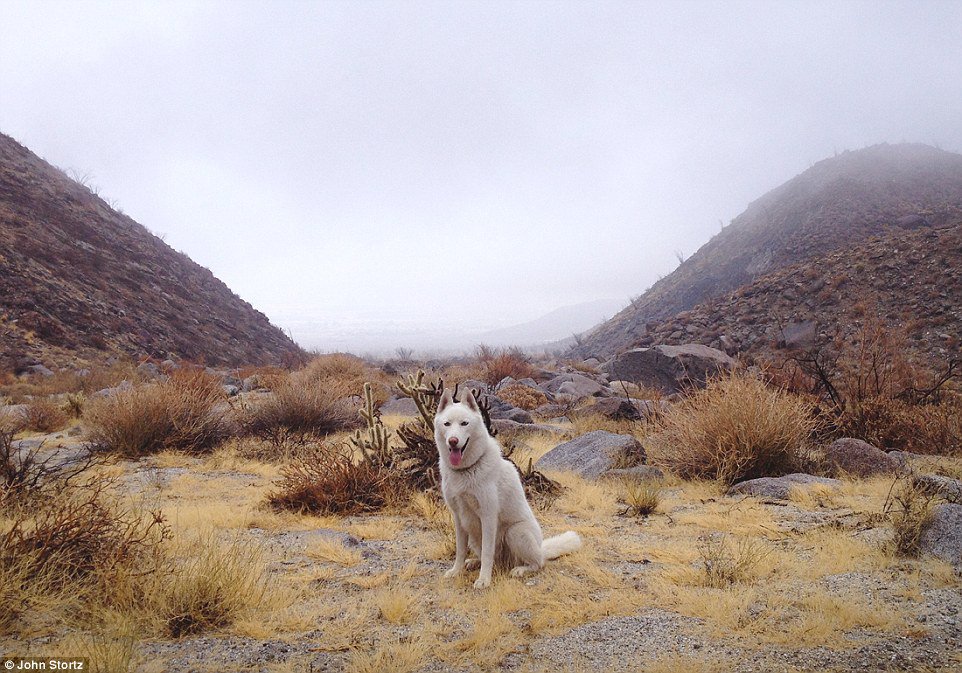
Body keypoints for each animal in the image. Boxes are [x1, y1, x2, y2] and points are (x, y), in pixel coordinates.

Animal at [434, 388, 580, 588]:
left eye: (464, 423)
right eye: (447, 424)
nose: (453, 441)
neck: (466, 470)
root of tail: (541, 547)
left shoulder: (488, 516)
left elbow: (488, 553)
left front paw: (484, 580)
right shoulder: (458, 517)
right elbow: (460, 551)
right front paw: (457, 571)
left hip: (515, 532)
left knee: (538, 563)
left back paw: (520, 570)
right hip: (474, 536)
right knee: (490, 557)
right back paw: (474, 562)